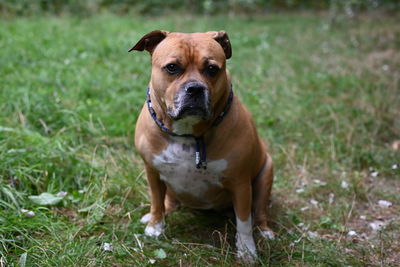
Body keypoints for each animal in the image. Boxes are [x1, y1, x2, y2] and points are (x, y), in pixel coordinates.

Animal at [130, 29, 274, 262]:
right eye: (172, 67)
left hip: (266, 172)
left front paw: (246, 250)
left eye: (212, 69)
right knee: (167, 201)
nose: (195, 88)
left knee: (259, 210)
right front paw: (155, 226)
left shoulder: (241, 183)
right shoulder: (152, 171)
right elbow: (156, 200)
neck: (188, 134)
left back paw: (265, 230)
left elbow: (244, 221)